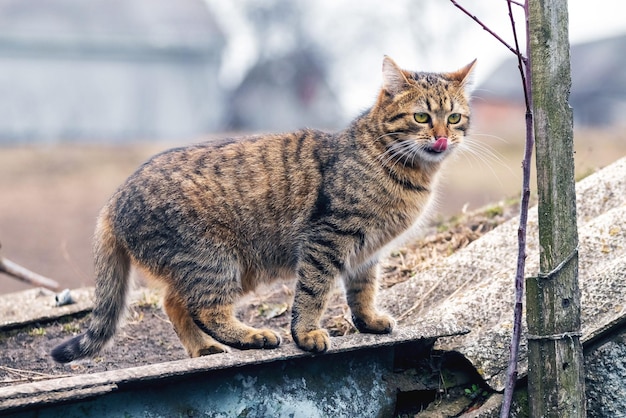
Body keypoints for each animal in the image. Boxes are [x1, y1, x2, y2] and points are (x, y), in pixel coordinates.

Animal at [52, 56, 472, 362]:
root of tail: (114, 199)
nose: (441, 138)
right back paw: (251, 336)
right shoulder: (327, 239)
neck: (407, 173)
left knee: (174, 303)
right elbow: (313, 293)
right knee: (205, 309)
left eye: (454, 118)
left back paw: (204, 349)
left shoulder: (368, 251)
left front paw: (367, 321)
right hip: (214, 258)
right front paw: (306, 334)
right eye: (421, 117)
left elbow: (362, 291)